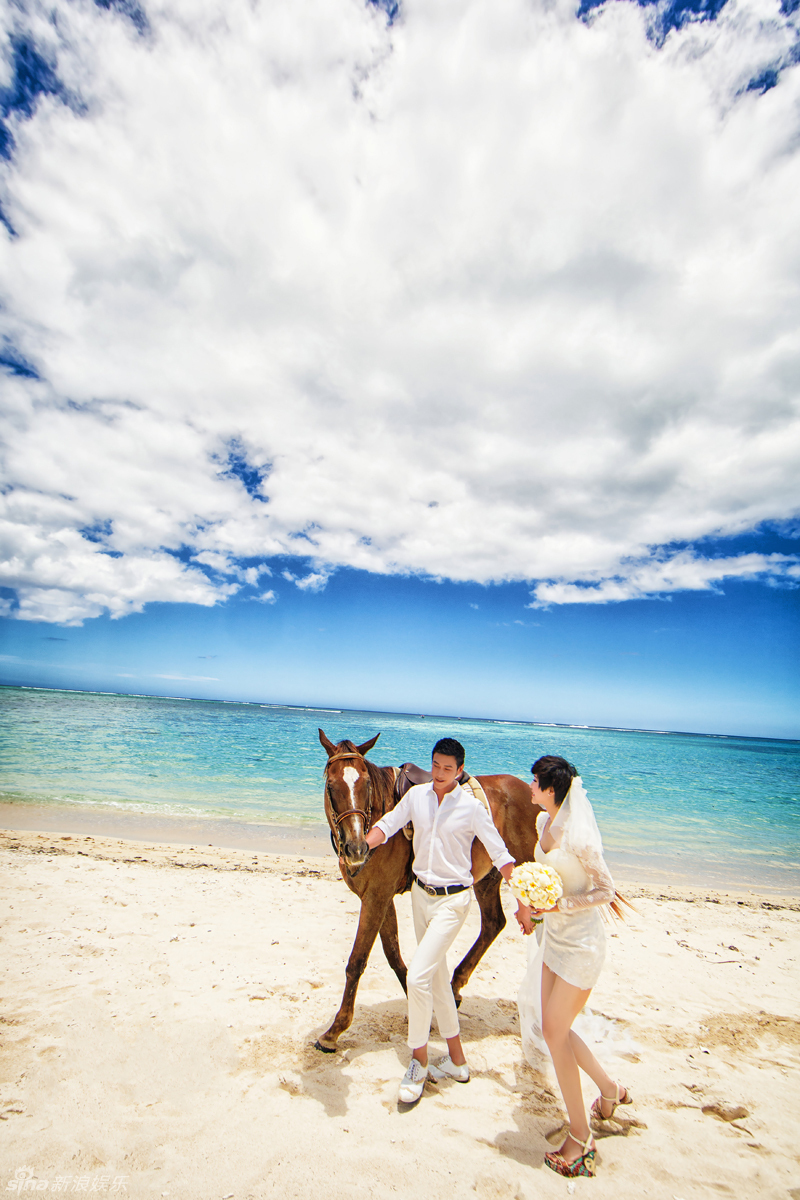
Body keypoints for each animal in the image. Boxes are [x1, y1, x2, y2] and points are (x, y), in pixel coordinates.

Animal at [316, 720, 542, 1051]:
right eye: (332, 787)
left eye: (366, 785)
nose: (357, 848)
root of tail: (529, 792)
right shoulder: (378, 898)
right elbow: (393, 955)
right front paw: (424, 1007)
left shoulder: (377, 897)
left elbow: (357, 960)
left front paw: (334, 1031)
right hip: (489, 878)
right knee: (493, 923)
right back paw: (455, 986)